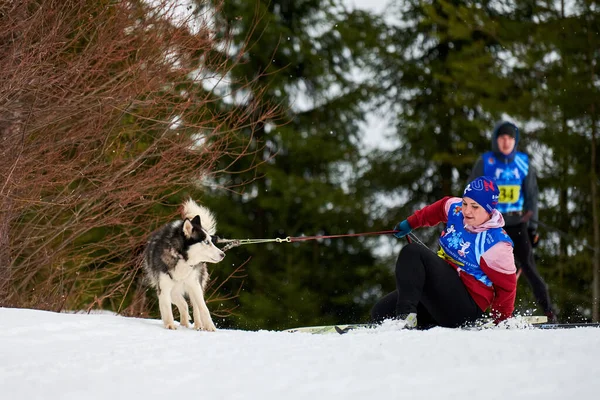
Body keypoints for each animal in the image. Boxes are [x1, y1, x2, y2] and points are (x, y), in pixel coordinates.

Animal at [143, 200, 225, 332]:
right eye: (206, 242)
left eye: (211, 241)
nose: (223, 254)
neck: (181, 257)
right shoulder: (164, 288)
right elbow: (167, 308)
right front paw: (170, 325)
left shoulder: (194, 285)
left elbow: (203, 308)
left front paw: (210, 327)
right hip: (172, 291)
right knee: (183, 305)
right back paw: (184, 324)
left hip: (195, 285)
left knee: (195, 307)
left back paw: (198, 325)